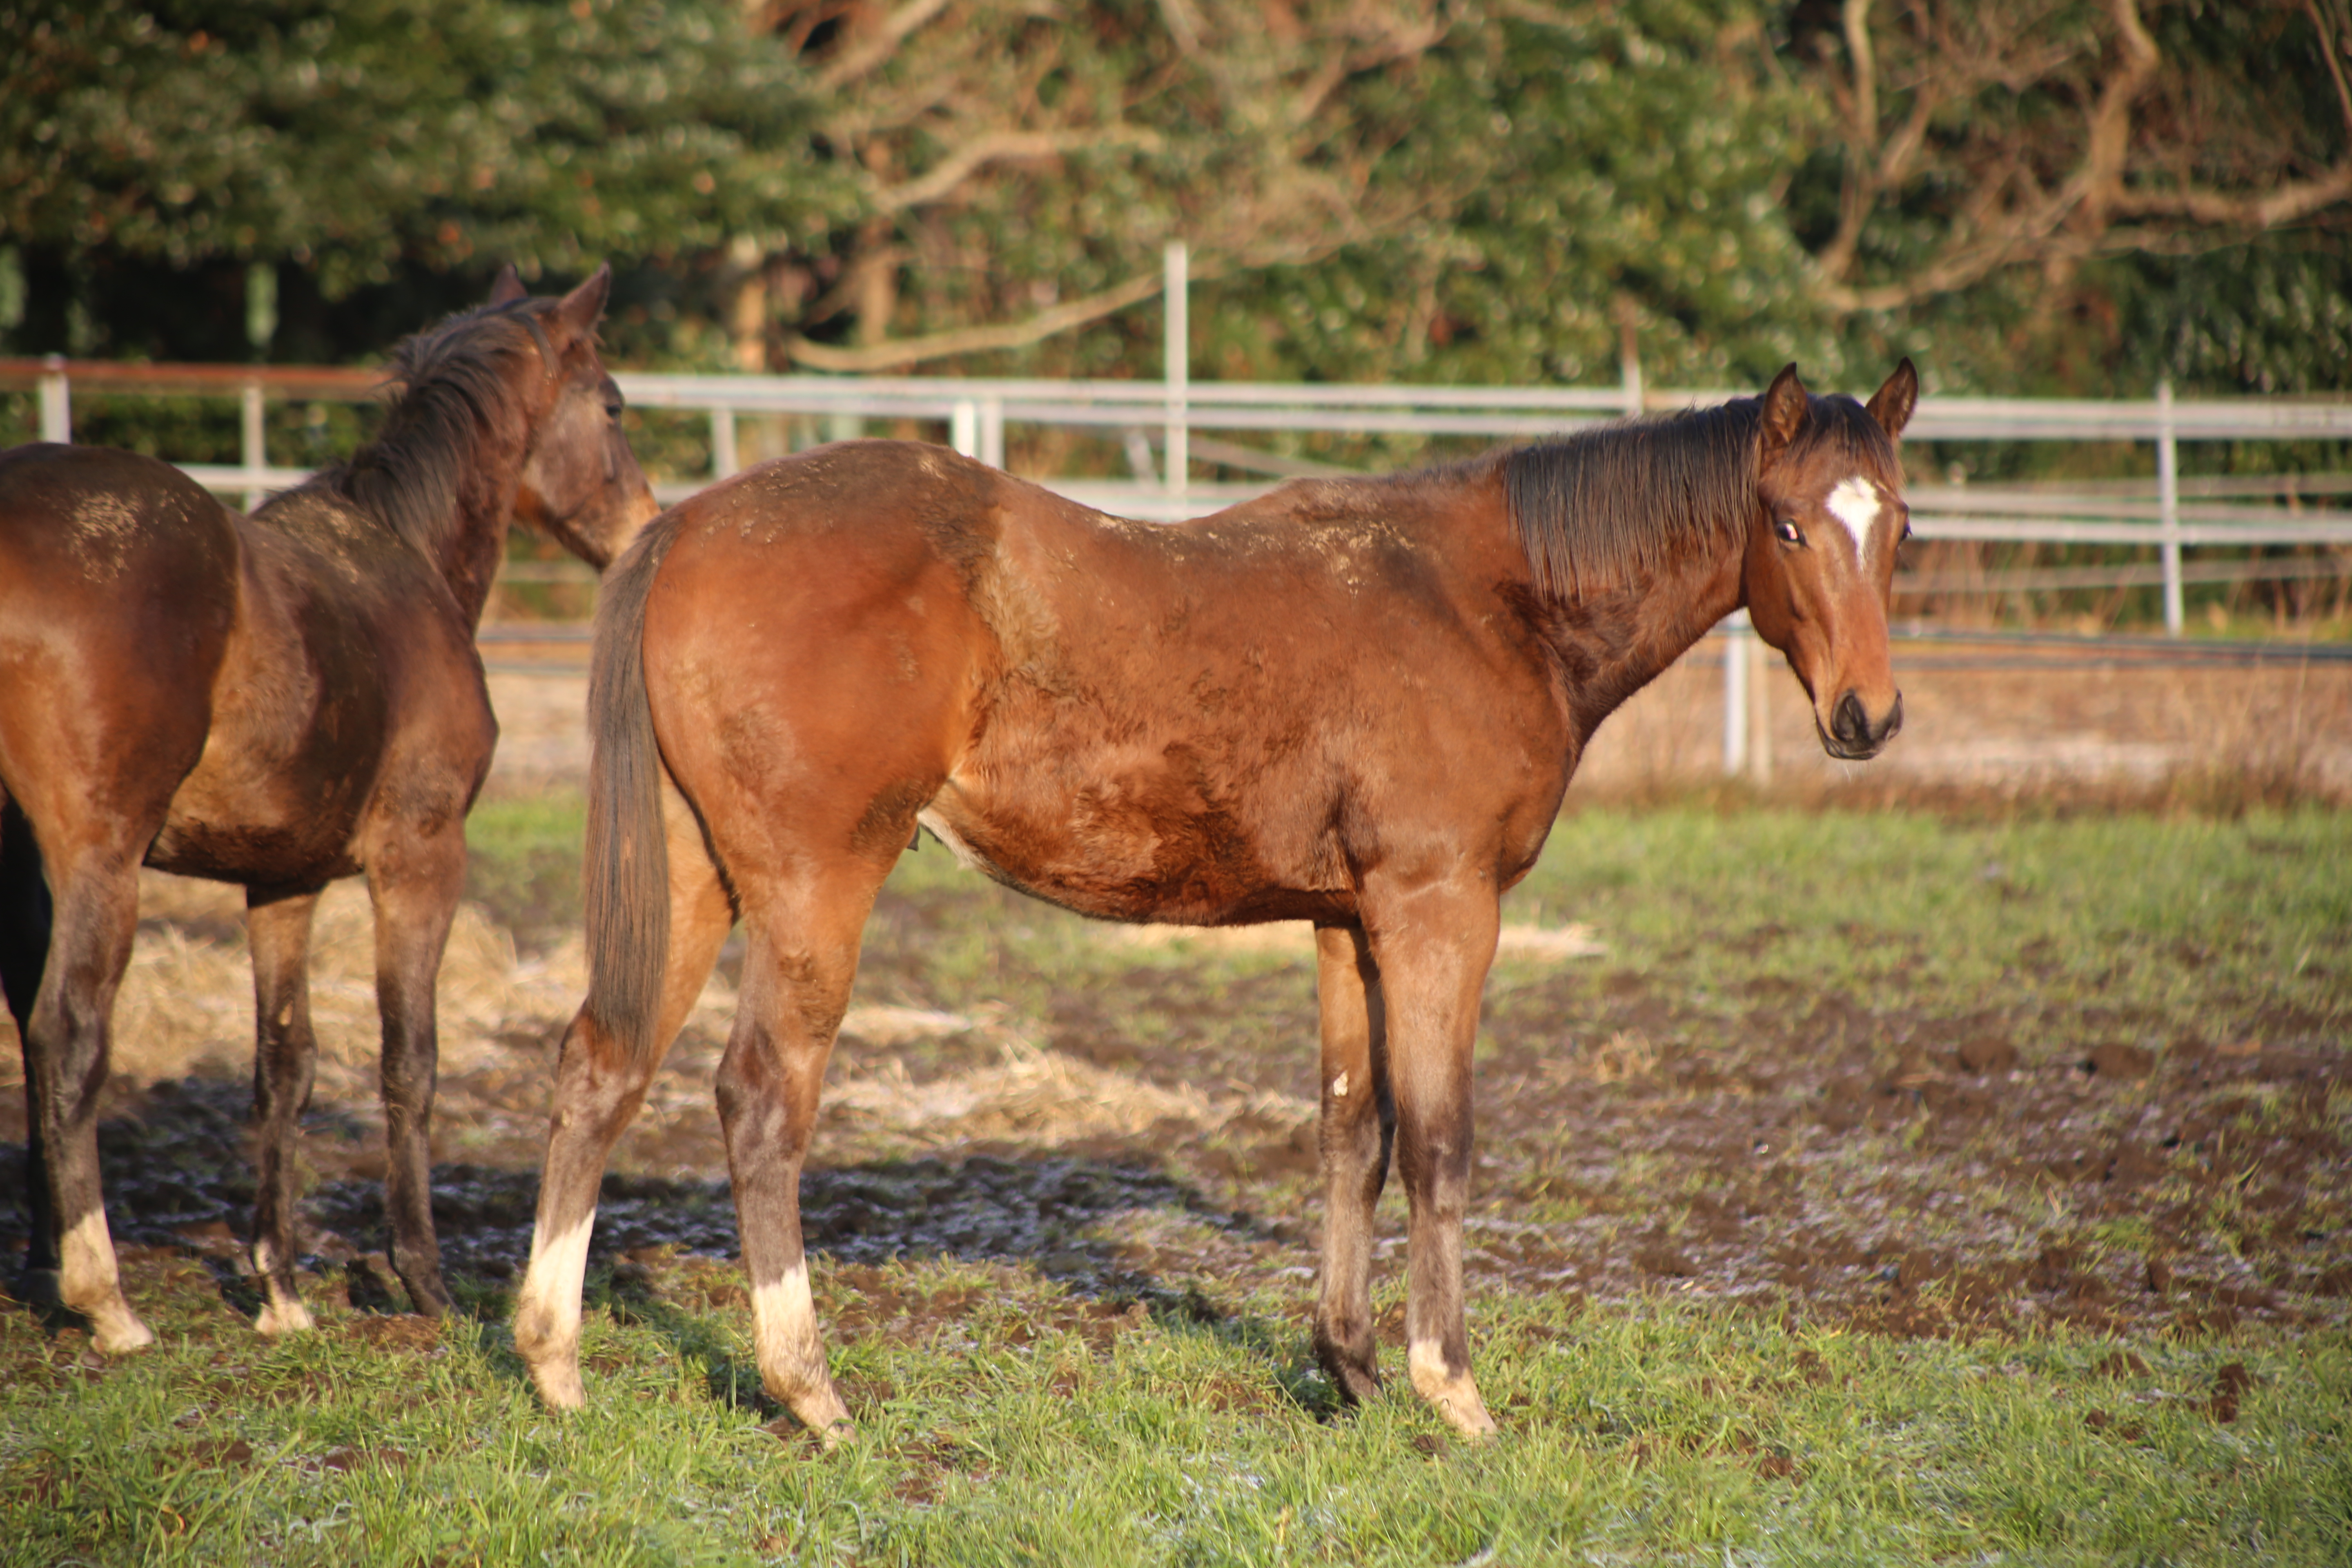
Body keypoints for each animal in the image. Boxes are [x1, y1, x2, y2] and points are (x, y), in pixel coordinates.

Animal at [4, 267, 663, 1354]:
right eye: (610, 404)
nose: (644, 525)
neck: (408, 561)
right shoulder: (421, 861)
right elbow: (410, 1059)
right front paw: (423, 1277)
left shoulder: (283, 880)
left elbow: (285, 1063)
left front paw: (279, 1286)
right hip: (99, 861)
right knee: (66, 1031)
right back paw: (107, 1300)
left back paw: (43, 1262)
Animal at [510, 362, 1910, 1439]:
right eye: (1788, 525)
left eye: (1898, 528)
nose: (1868, 718)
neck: (1483, 603)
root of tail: (683, 530)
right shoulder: (1441, 909)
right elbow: (1441, 1139)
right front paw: (1451, 1391)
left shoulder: (1349, 923)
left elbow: (1355, 1134)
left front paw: (1350, 1370)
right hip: (816, 888)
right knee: (760, 1099)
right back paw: (810, 1392)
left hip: (698, 879)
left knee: (602, 1066)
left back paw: (556, 1365)